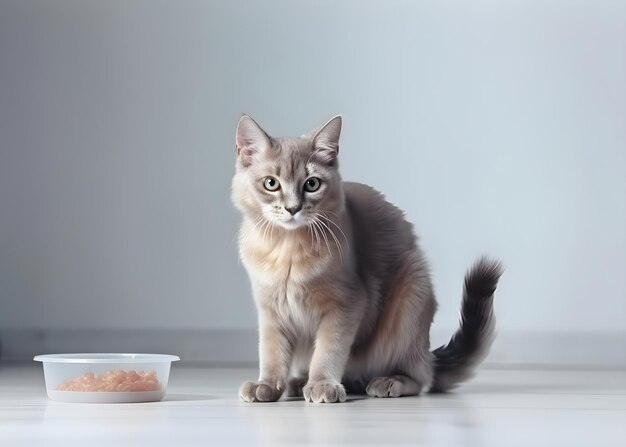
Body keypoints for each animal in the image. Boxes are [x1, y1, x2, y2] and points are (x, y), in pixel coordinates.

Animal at [232, 114, 500, 402]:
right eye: (271, 184)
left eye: (312, 184)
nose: (293, 208)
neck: (287, 248)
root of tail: (427, 354)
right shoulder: (271, 309)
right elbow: (271, 353)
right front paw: (268, 386)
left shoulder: (347, 304)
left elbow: (328, 350)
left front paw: (322, 384)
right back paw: (299, 382)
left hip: (411, 293)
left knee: (420, 378)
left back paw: (388, 382)